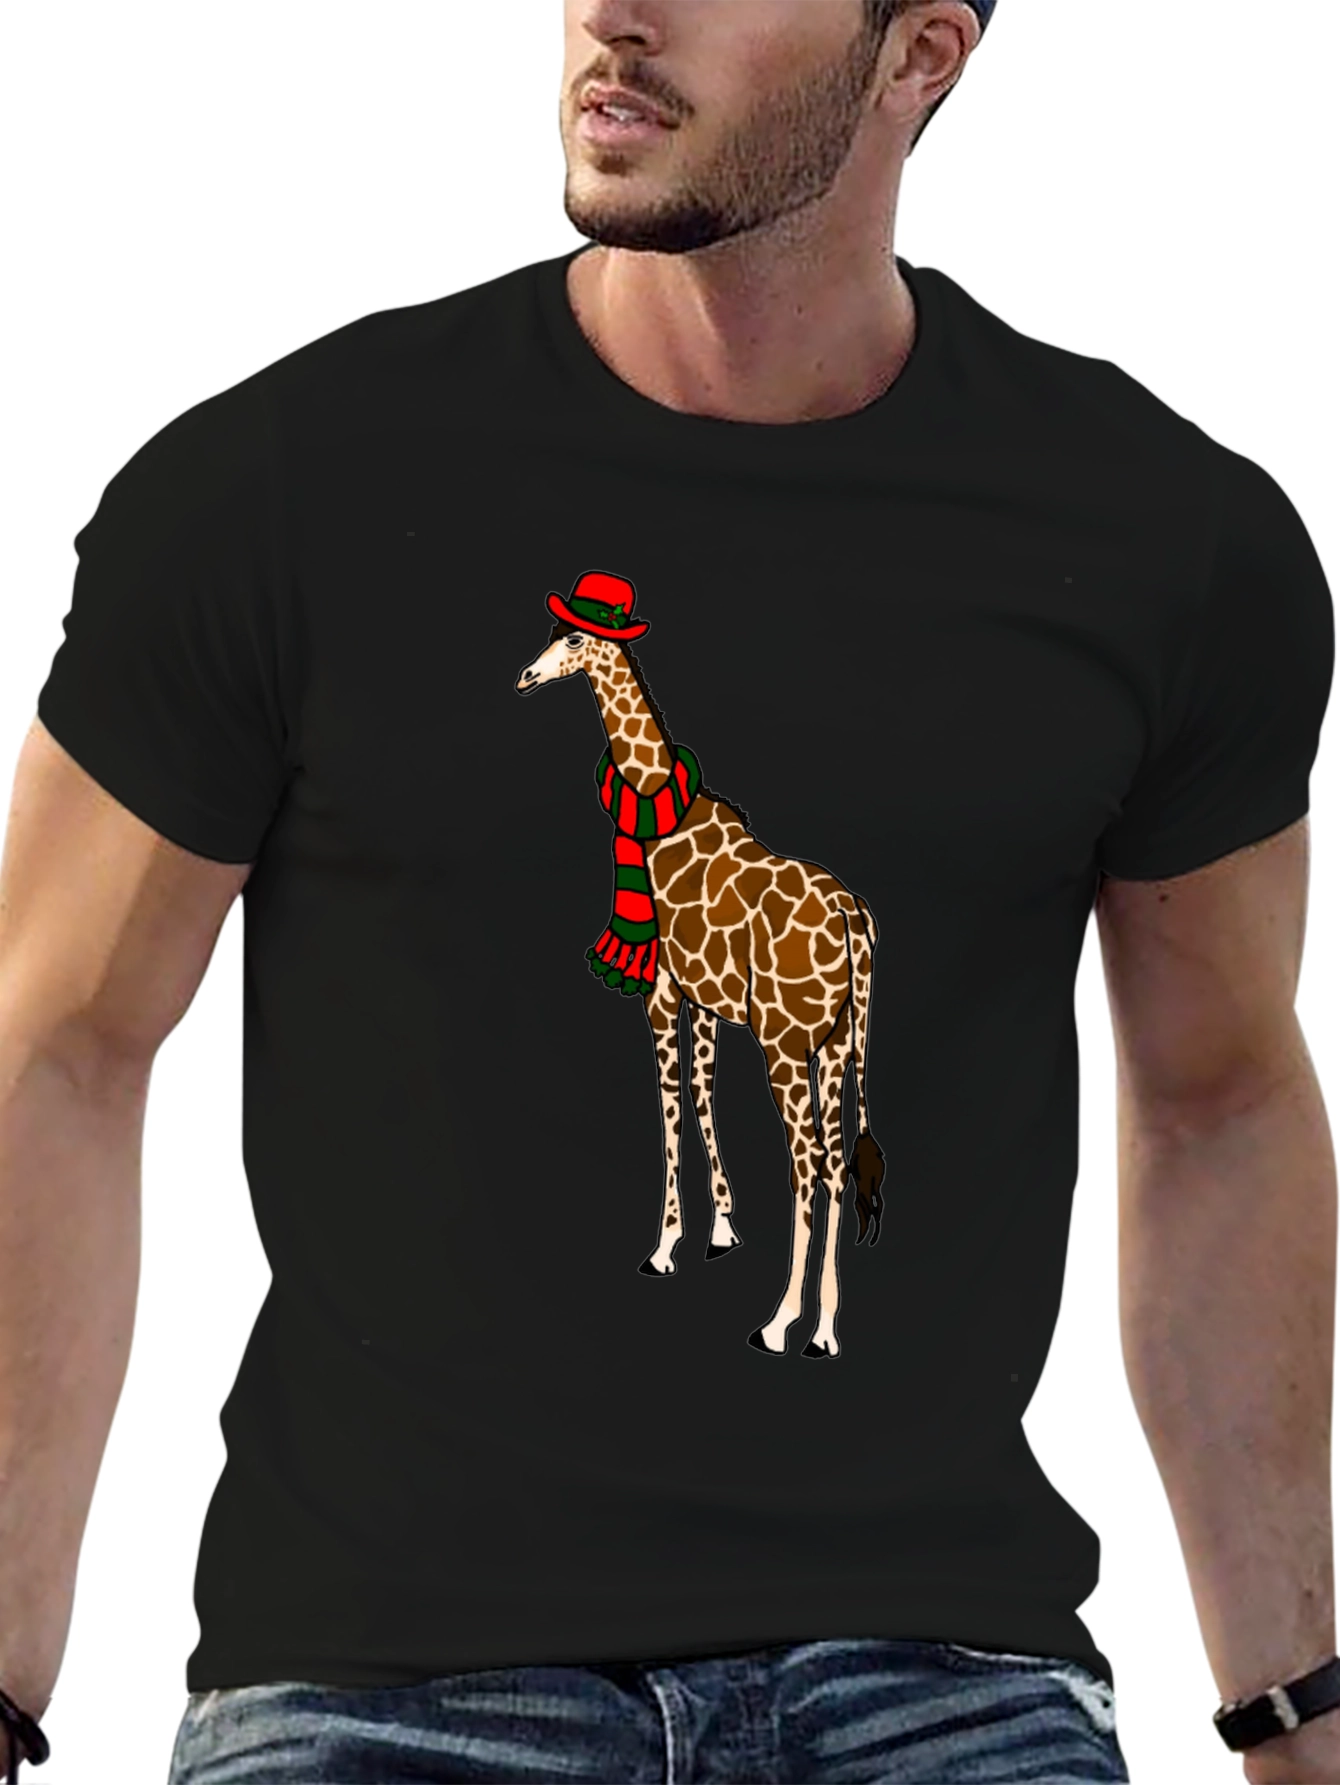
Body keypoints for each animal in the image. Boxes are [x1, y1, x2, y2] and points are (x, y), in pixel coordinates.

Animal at [516, 607, 885, 1358]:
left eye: (573, 636)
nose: (527, 676)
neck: (663, 817)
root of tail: (852, 916)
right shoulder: (706, 998)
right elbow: (703, 1091)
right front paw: (720, 1225)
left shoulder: (663, 990)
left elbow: (669, 1100)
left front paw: (665, 1245)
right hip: (836, 1042)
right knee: (836, 1164)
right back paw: (825, 1328)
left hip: (786, 1043)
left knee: (807, 1164)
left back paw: (779, 1321)